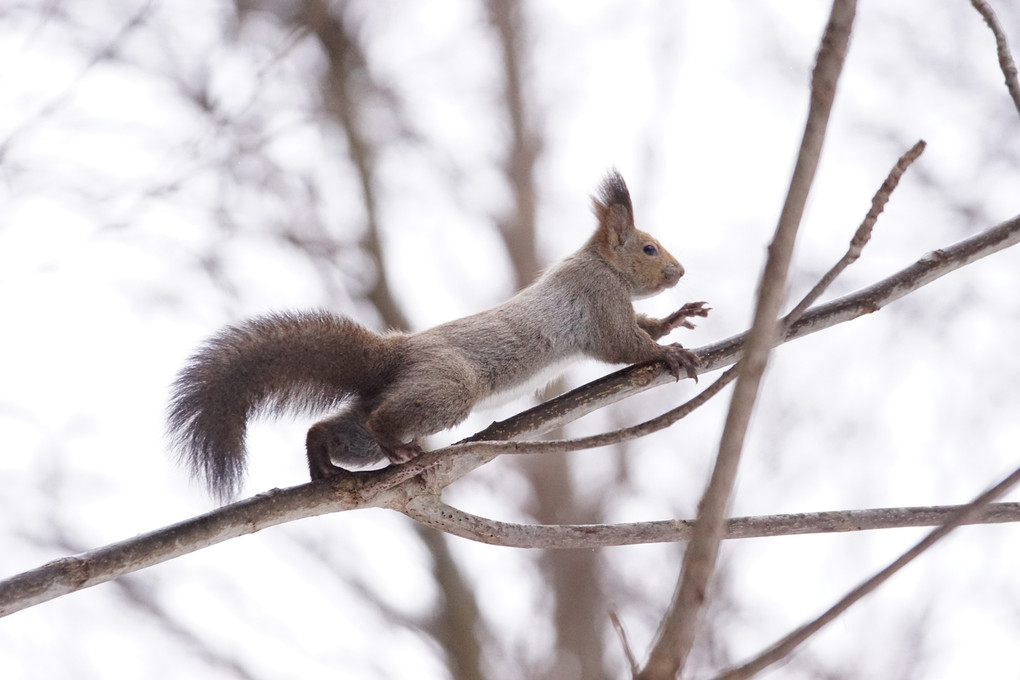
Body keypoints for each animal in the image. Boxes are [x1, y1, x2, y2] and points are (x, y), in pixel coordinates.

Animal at [167, 170, 709, 499]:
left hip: (383, 411)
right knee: (383, 421)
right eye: (648, 249)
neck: (601, 265)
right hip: (445, 388)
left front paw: (676, 318)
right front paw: (670, 353)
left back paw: (323, 462)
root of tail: (396, 353)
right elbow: (626, 344)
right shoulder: (597, 302)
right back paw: (393, 447)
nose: (681, 272)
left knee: (333, 428)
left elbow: (642, 326)